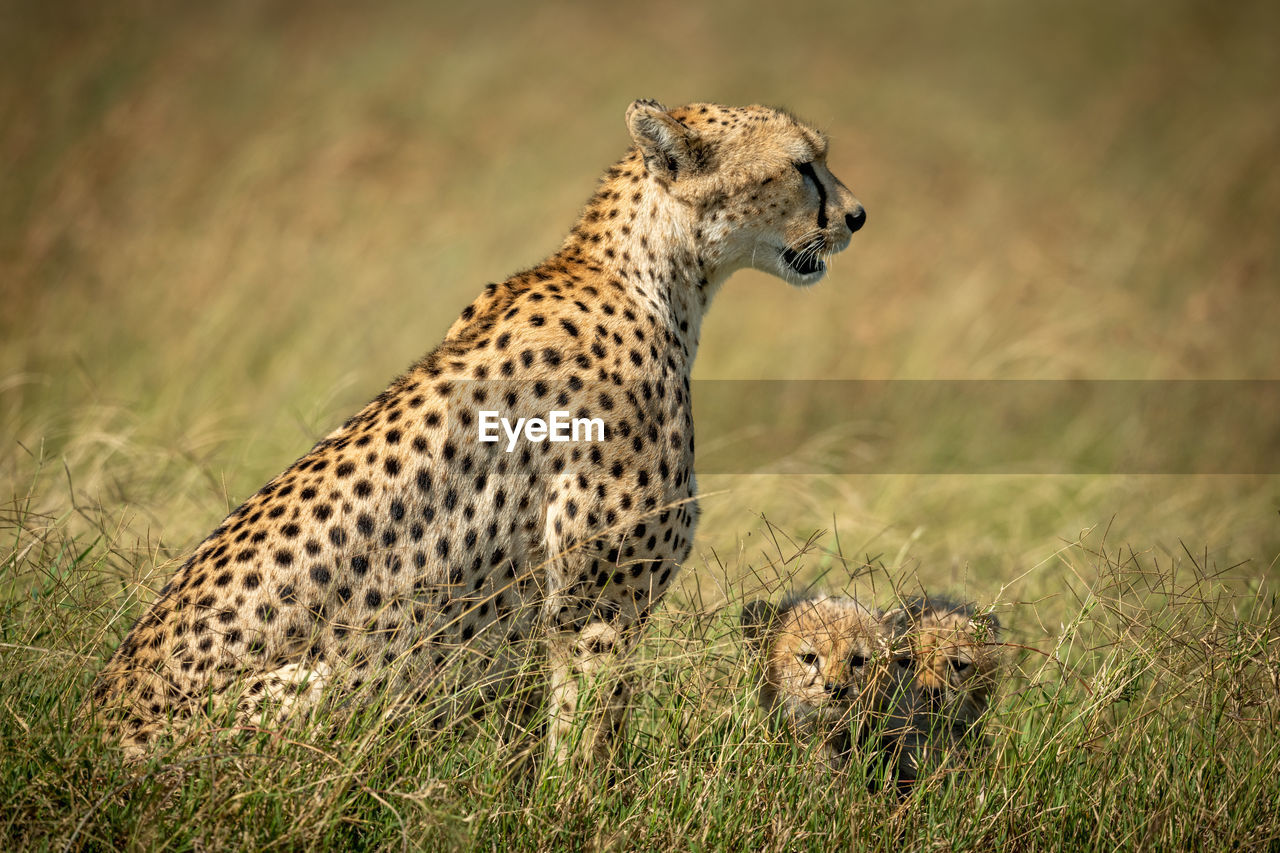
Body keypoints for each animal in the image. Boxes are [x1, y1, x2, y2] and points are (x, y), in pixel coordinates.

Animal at [92, 97, 870, 758]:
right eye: (802, 165)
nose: (858, 216)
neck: (651, 276)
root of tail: (97, 732)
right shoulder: (598, 606)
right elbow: (586, 745)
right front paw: (584, 813)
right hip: (352, 670)